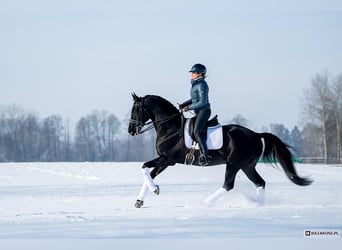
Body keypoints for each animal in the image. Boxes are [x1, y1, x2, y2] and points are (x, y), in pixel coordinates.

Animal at [127, 93, 312, 207]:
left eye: (136, 109)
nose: (131, 130)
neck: (170, 128)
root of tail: (255, 134)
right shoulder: (165, 161)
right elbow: (149, 174)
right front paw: (140, 200)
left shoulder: (168, 159)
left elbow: (144, 167)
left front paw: (155, 189)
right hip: (247, 166)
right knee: (260, 183)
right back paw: (258, 204)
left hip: (234, 164)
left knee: (228, 184)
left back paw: (206, 202)